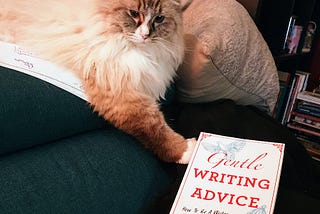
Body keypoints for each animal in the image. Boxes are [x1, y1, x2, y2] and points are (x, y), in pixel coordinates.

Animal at [0, 0, 196, 163]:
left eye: (159, 18)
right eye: (133, 13)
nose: (145, 35)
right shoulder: (118, 89)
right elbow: (153, 126)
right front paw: (187, 151)